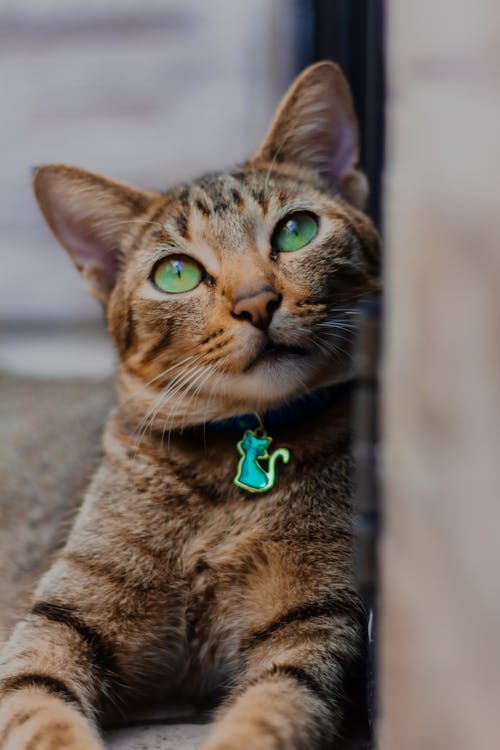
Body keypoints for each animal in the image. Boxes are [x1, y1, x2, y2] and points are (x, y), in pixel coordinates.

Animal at [0, 63, 378, 750]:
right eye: (176, 273)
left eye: (297, 230)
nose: (257, 302)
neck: (227, 476)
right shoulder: (59, 620)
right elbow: (36, 702)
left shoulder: (317, 622)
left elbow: (274, 706)